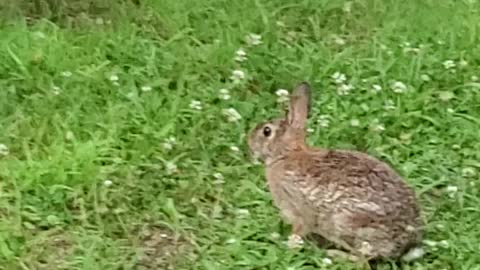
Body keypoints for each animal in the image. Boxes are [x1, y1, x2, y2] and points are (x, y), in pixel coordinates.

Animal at [249, 81, 422, 262]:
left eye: (266, 131)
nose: (249, 143)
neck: (285, 154)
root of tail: (406, 243)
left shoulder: (298, 209)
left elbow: (298, 231)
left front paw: (287, 246)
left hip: (347, 224)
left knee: (362, 259)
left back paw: (334, 254)